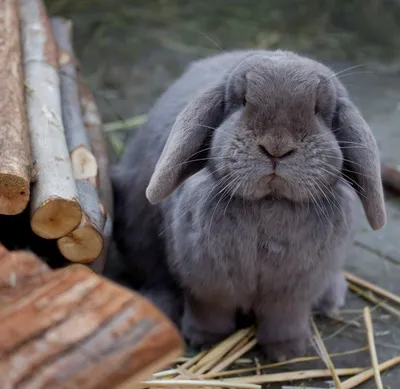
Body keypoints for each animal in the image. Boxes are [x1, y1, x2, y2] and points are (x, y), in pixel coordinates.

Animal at [111, 49, 384, 360]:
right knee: (156, 277)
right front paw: (205, 339)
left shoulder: (293, 294)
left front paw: (286, 351)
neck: (269, 203)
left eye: (318, 108)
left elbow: (284, 320)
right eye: (242, 100)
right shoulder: (206, 284)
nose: (276, 147)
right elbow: (209, 311)